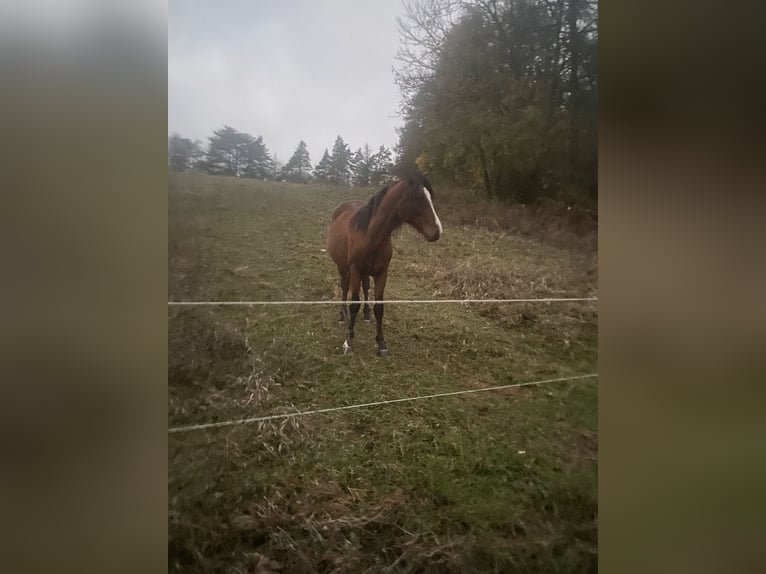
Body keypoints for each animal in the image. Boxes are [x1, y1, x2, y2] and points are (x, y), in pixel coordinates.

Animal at [326, 173, 444, 358]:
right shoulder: (355, 270)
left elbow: (379, 307)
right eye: (417, 197)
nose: (437, 231)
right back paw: (342, 317)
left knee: (365, 286)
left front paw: (381, 343)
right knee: (345, 288)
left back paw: (366, 315)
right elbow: (354, 304)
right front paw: (349, 341)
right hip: (343, 268)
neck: (371, 235)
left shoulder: (382, 273)